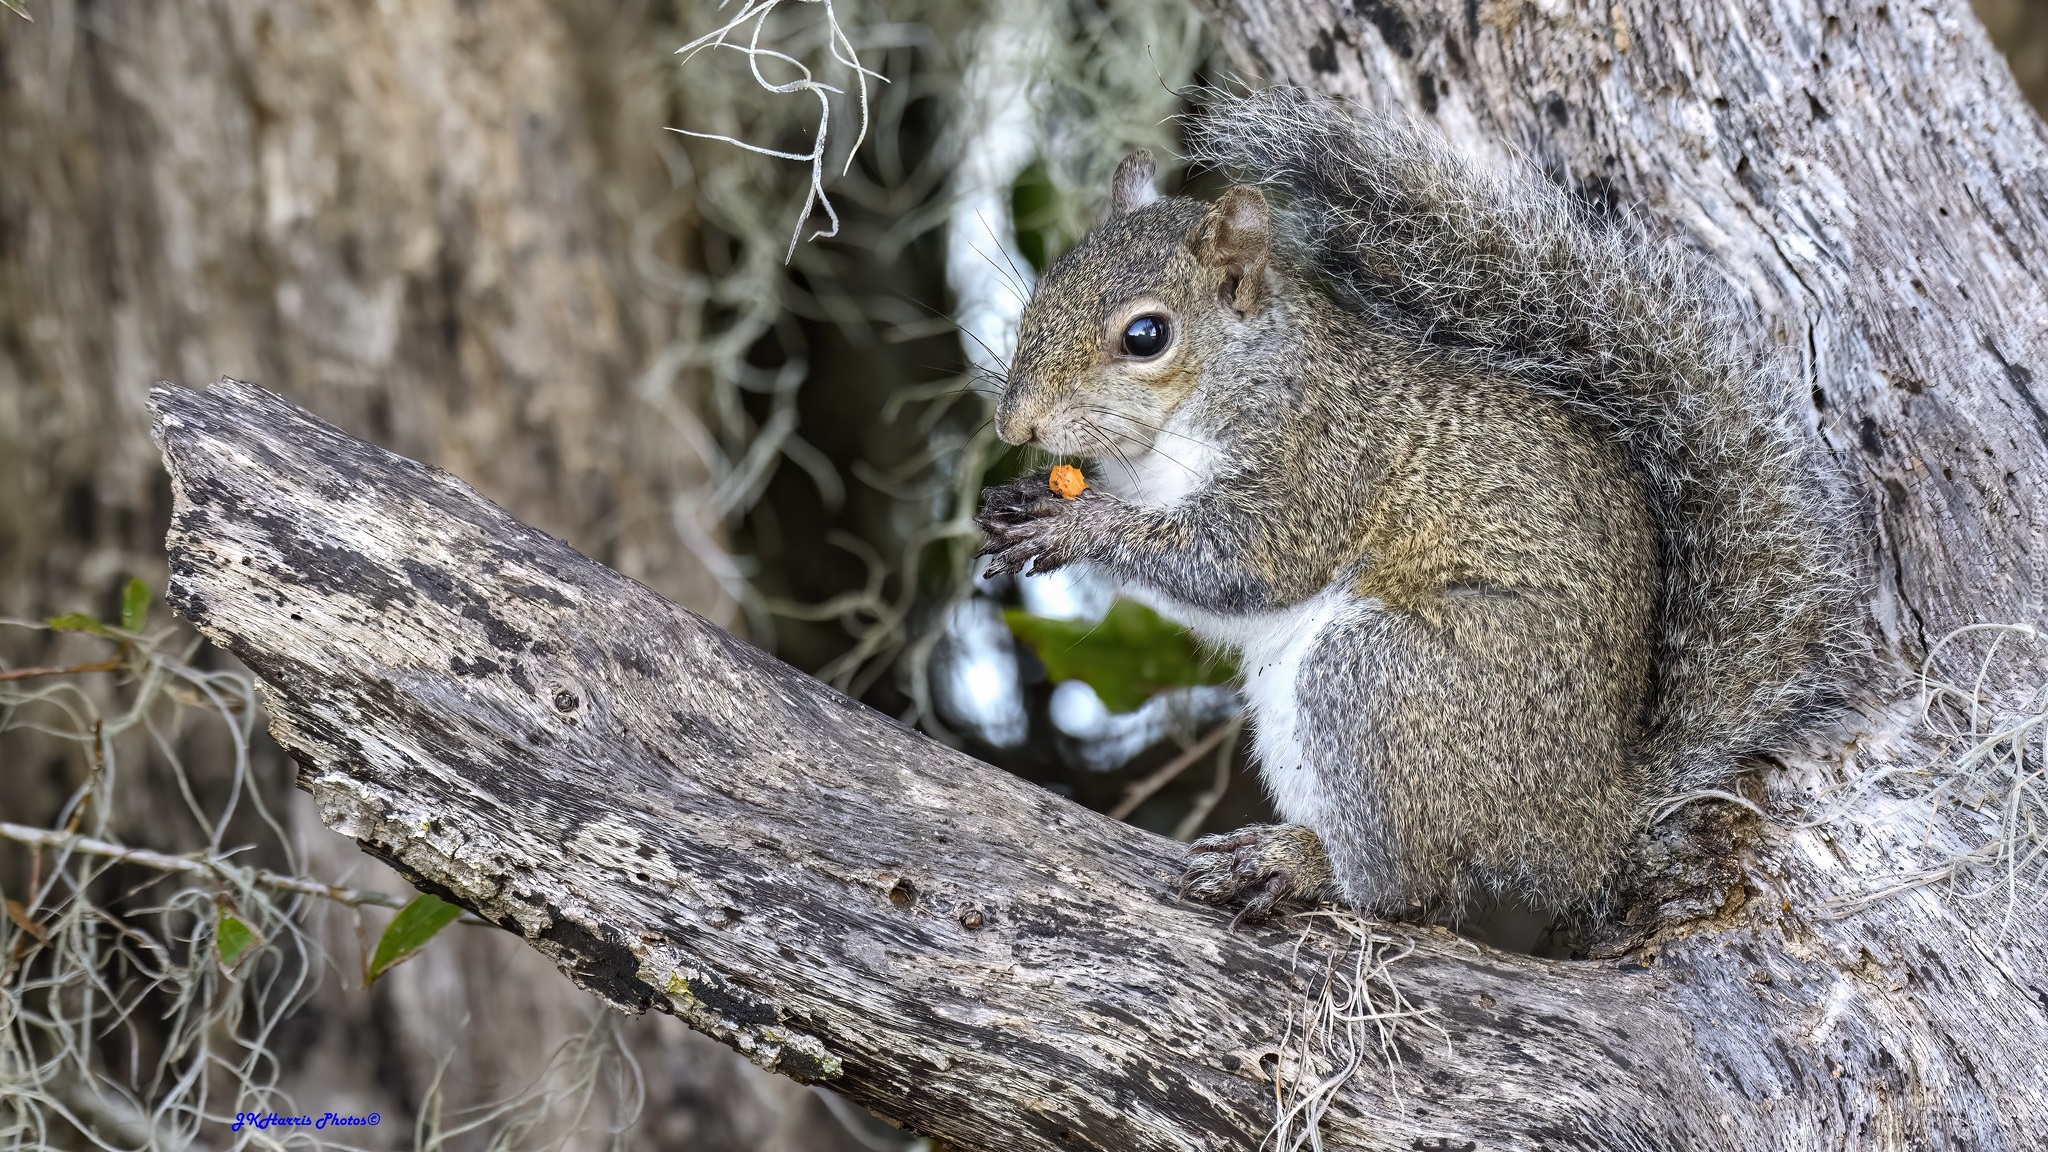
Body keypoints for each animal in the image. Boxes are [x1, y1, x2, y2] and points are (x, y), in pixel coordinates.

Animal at [974, 87, 1859, 914]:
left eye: (1146, 336)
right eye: (1043, 290)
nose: (1014, 422)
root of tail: (1590, 823)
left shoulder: (1316, 466)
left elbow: (1242, 564)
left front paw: (1078, 524)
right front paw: (1022, 498)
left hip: (1383, 680)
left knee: (1407, 888)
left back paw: (1304, 866)